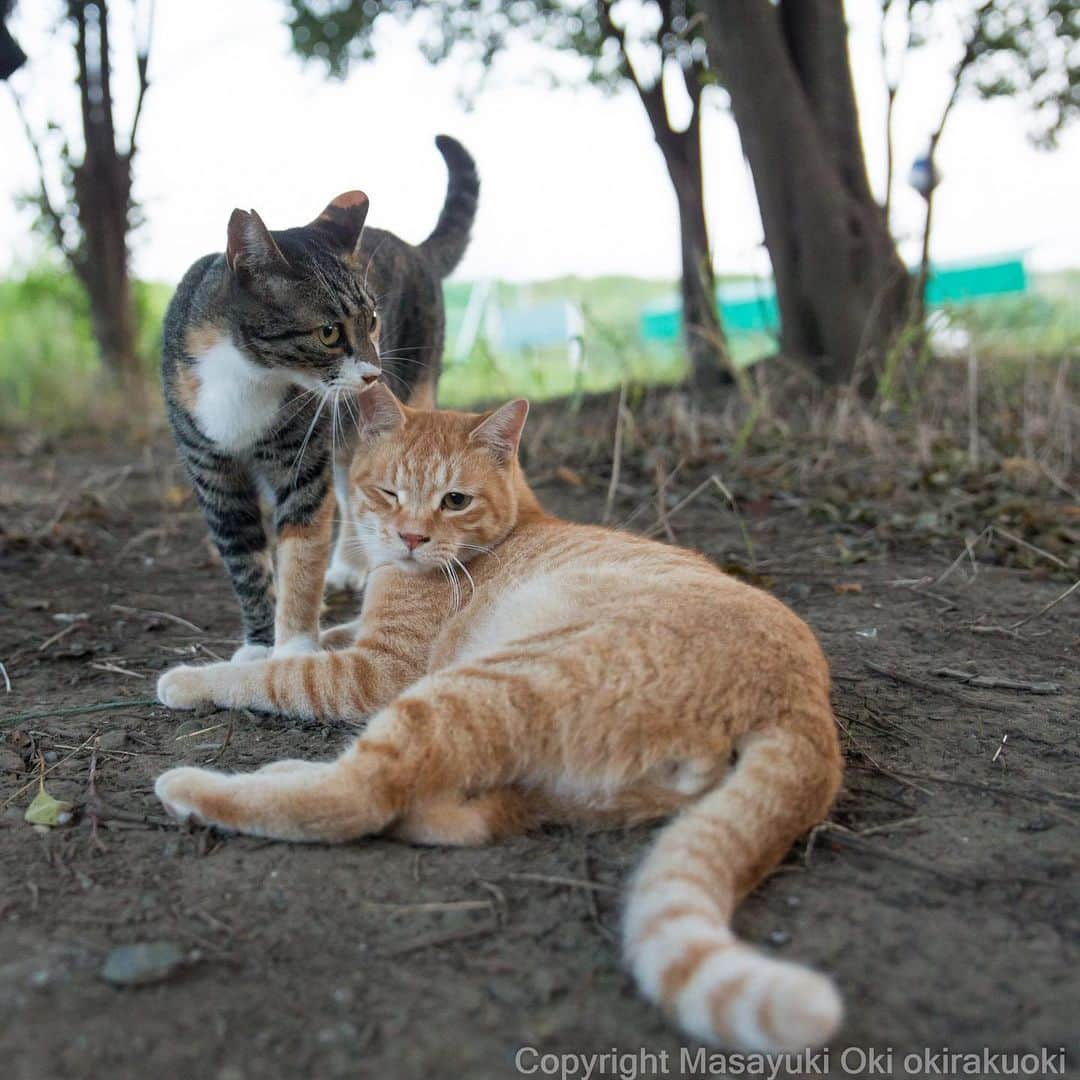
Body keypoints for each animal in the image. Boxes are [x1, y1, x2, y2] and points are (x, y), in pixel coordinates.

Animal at [154, 384, 842, 1049]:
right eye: (388, 491)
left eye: (454, 500)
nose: (410, 538)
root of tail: (803, 699)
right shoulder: (363, 638)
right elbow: (322, 635)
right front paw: (264, 643)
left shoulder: (377, 674)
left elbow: (281, 674)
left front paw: (195, 676)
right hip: (574, 786)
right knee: (456, 814)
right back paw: (291, 771)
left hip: (476, 686)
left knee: (359, 797)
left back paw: (196, 788)